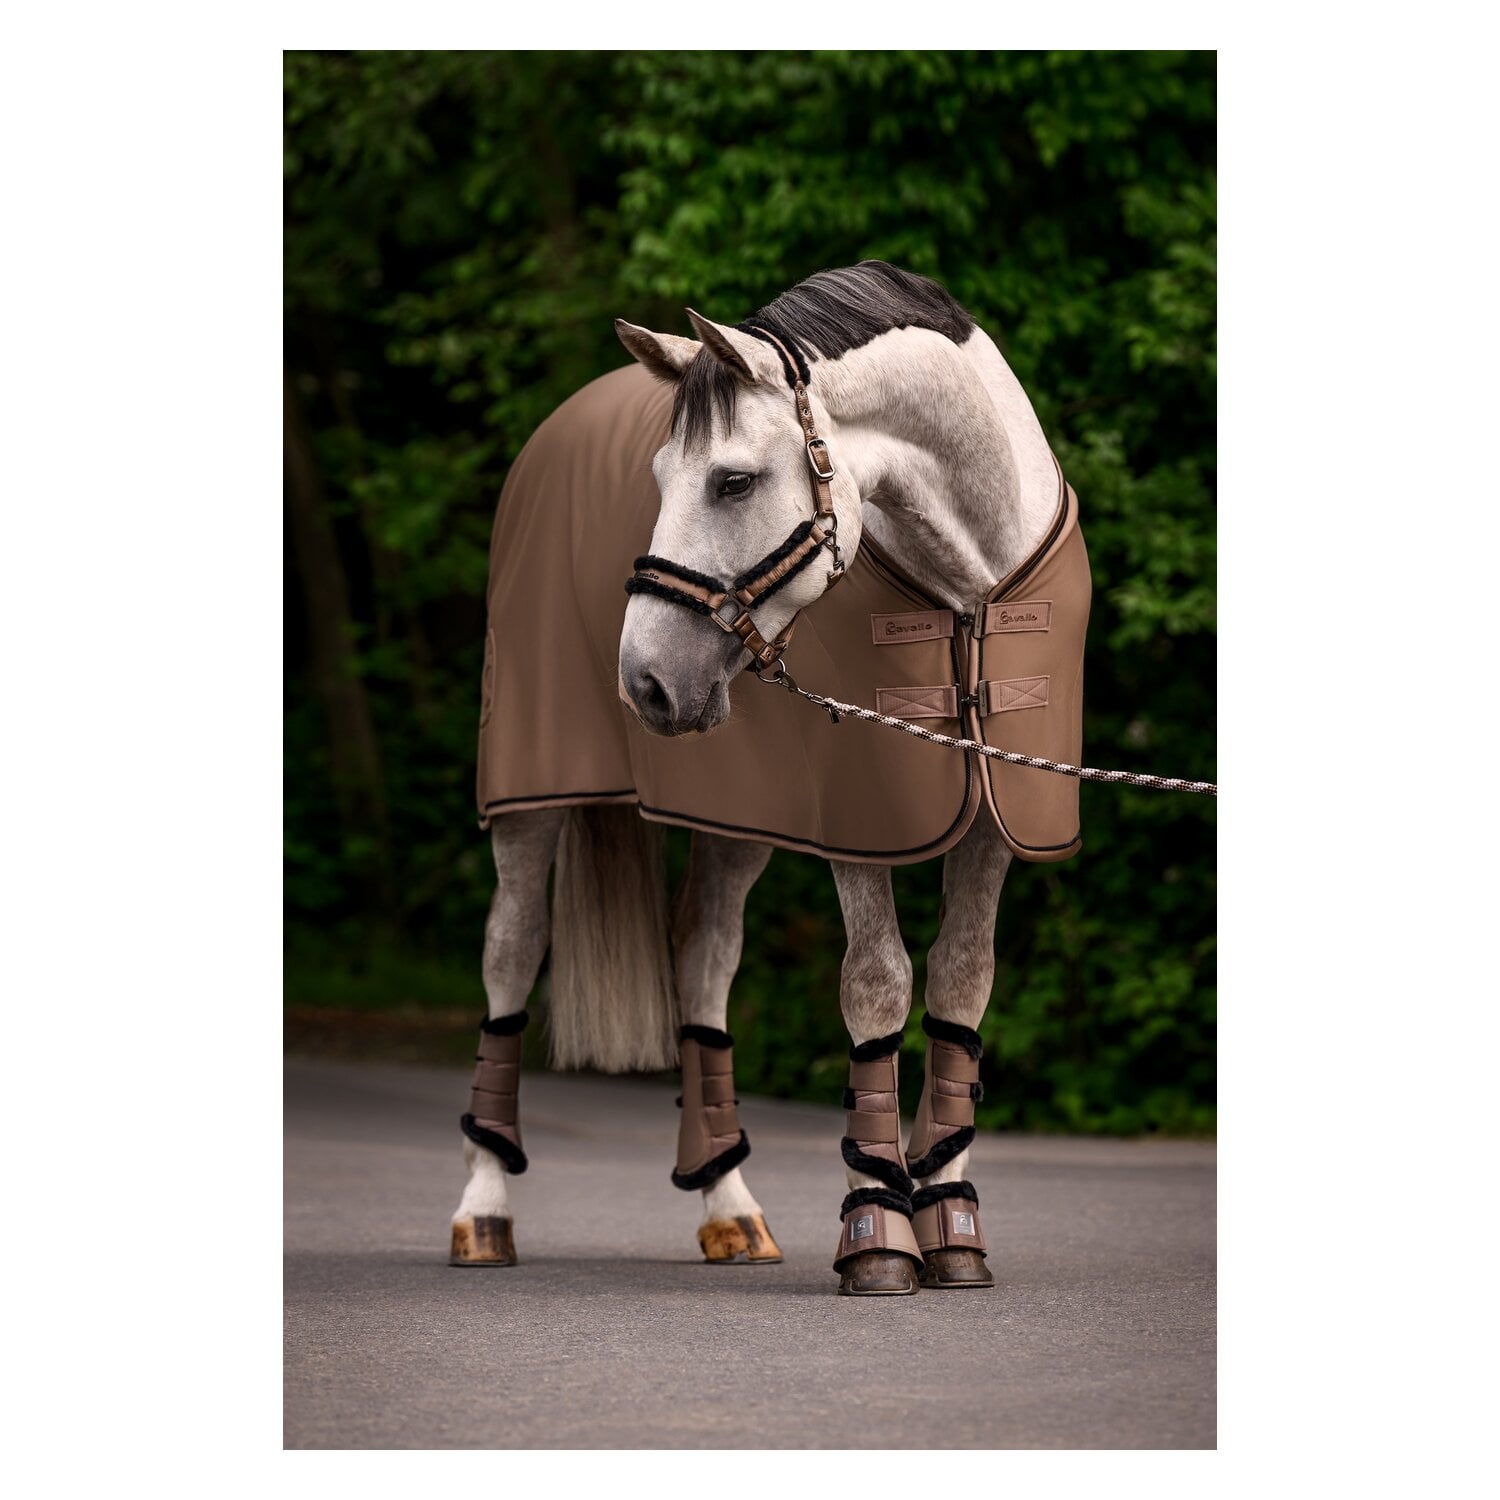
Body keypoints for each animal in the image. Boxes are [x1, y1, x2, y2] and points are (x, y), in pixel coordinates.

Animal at [448, 261, 1089, 1296]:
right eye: (658, 481)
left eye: (734, 479)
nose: (644, 682)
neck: (967, 583)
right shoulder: (860, 826)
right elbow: (878, 985)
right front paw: (877, 1230)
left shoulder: (994, 818)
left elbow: (961, 985)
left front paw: (952, 1223)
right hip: (529, 802)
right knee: (510, 950)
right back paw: (483, 1209)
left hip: (737, 824)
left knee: (703, 958)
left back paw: (729, 1206)